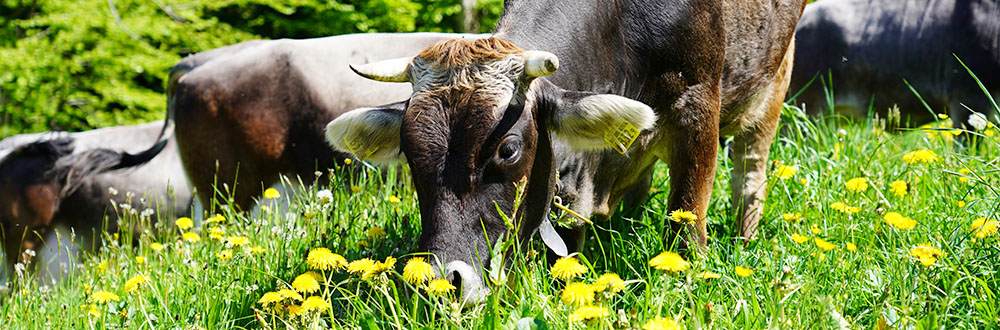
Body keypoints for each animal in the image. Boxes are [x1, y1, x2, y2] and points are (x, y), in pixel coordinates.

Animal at [328, 0, 804, 304]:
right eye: (410, 153)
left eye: (508, 149)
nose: (441, 283)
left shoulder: (698, 106)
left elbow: (685, 220)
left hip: (774, 78)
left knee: (750, 173)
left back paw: (745, 237)